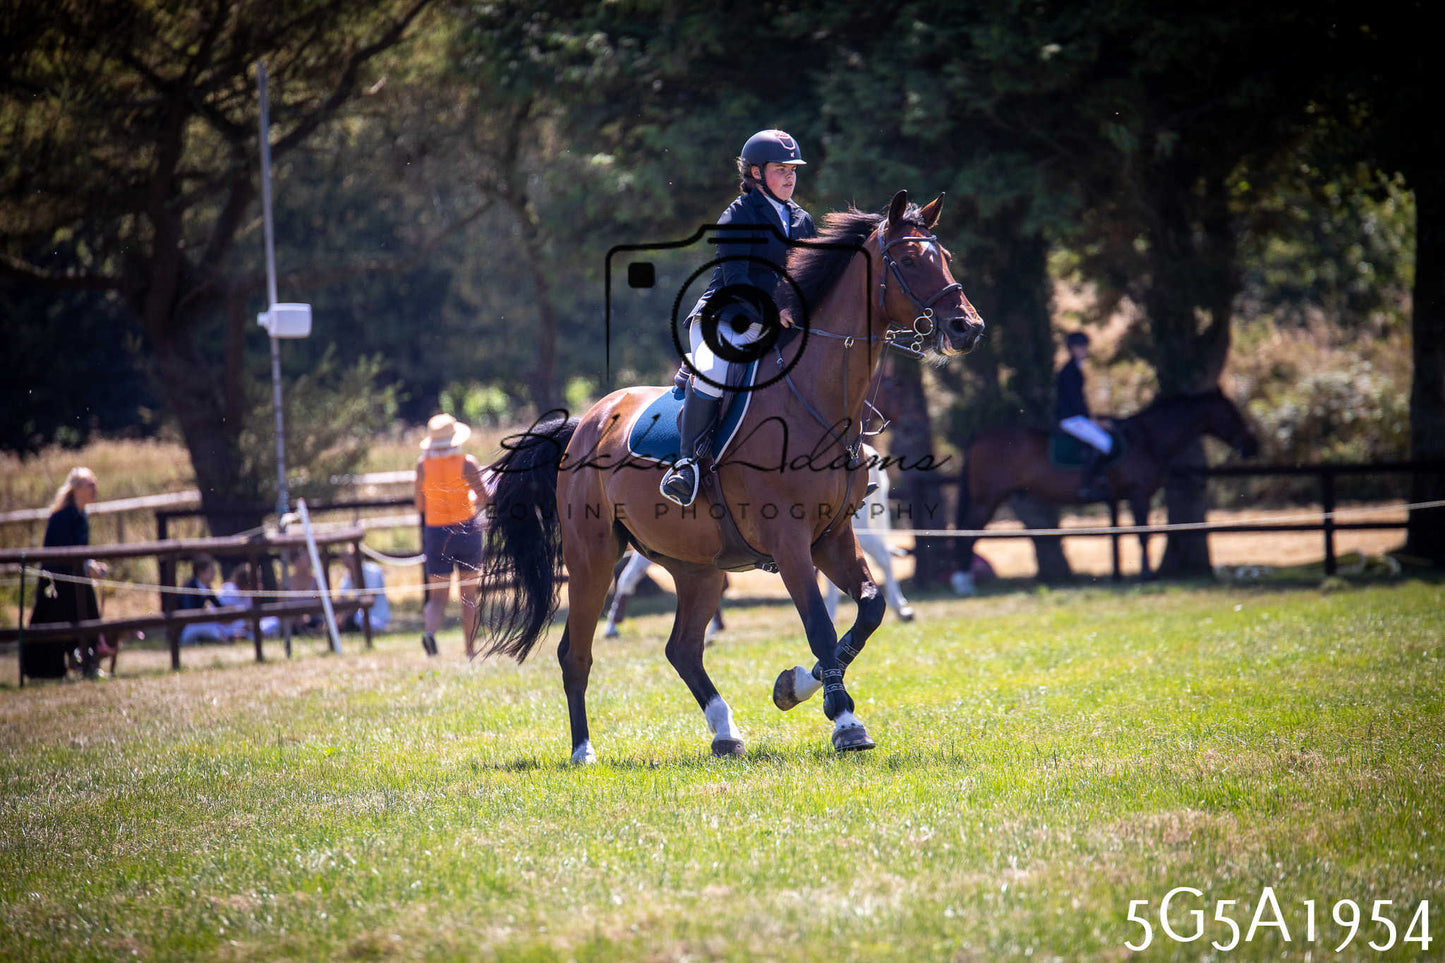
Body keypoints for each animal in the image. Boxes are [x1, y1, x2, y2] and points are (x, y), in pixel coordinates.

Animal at [477, 190, 984, 762]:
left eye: (946, 257)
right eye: (911, 260)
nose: (968, 328)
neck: (814, 402)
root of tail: (587, 421)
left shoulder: (831, 537)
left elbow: (868, 611)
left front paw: (794, 686)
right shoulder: (789, 541)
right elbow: (820, 624)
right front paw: (844, 720)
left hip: (697, 567)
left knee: (682, 648)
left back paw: (725, 731)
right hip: (593, 555)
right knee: (575, 652)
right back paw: (584, 750)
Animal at [950, 388, 1258, 588]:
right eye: (1231, 413)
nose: (1251, 446)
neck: (1147, 438)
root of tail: (979, 436)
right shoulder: (1138, 494)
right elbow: (1143, 534)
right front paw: (1147, 576)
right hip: (986, 499)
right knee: (967, 533)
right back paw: (964, 582)